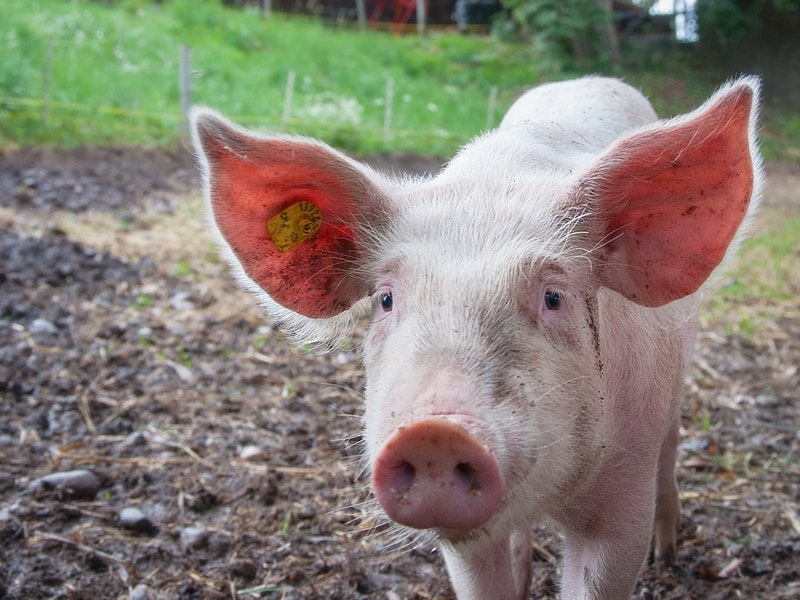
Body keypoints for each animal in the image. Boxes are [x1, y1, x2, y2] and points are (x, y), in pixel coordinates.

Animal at [191, 76, 762, 599]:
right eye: (386, 299)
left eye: (554, 297)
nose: (435, 434)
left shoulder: (624, 499)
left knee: (672, 445)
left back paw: (669, 555)